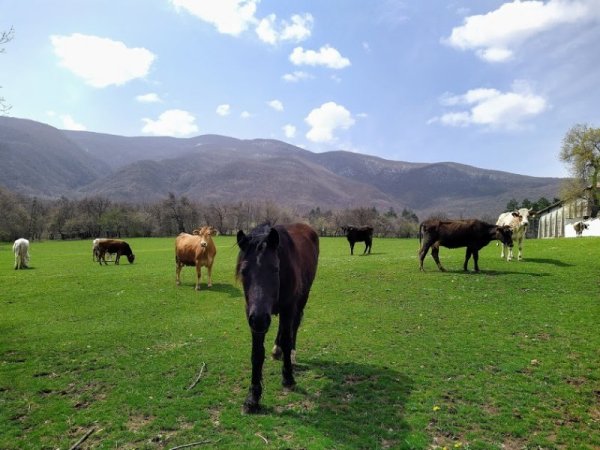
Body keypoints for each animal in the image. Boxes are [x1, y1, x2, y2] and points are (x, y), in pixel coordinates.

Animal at [236, 223, 322, 414]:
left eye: (275, 269)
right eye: (243, 271)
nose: (260, 319)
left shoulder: (288, 307)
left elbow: (288, 339)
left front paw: (288, 378)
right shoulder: (251, 314)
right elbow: (257, 353)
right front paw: (253, 397)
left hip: (302, 297)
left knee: (294, 326)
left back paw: (291, 355)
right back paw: (277, 350)